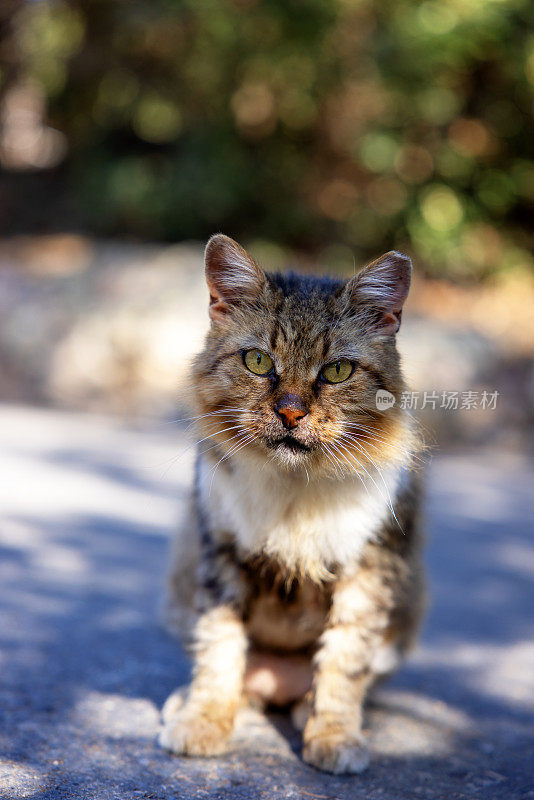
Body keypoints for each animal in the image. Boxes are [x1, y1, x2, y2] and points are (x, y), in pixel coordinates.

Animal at [157, 234, 426, 772]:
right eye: (258, 362)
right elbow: (218, 650)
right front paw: (203, 723)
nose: (291, 413)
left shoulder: (369, 570)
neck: (294, 485)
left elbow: (344, 663)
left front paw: (334, 737)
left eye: (337, 371)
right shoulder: (220, 556)